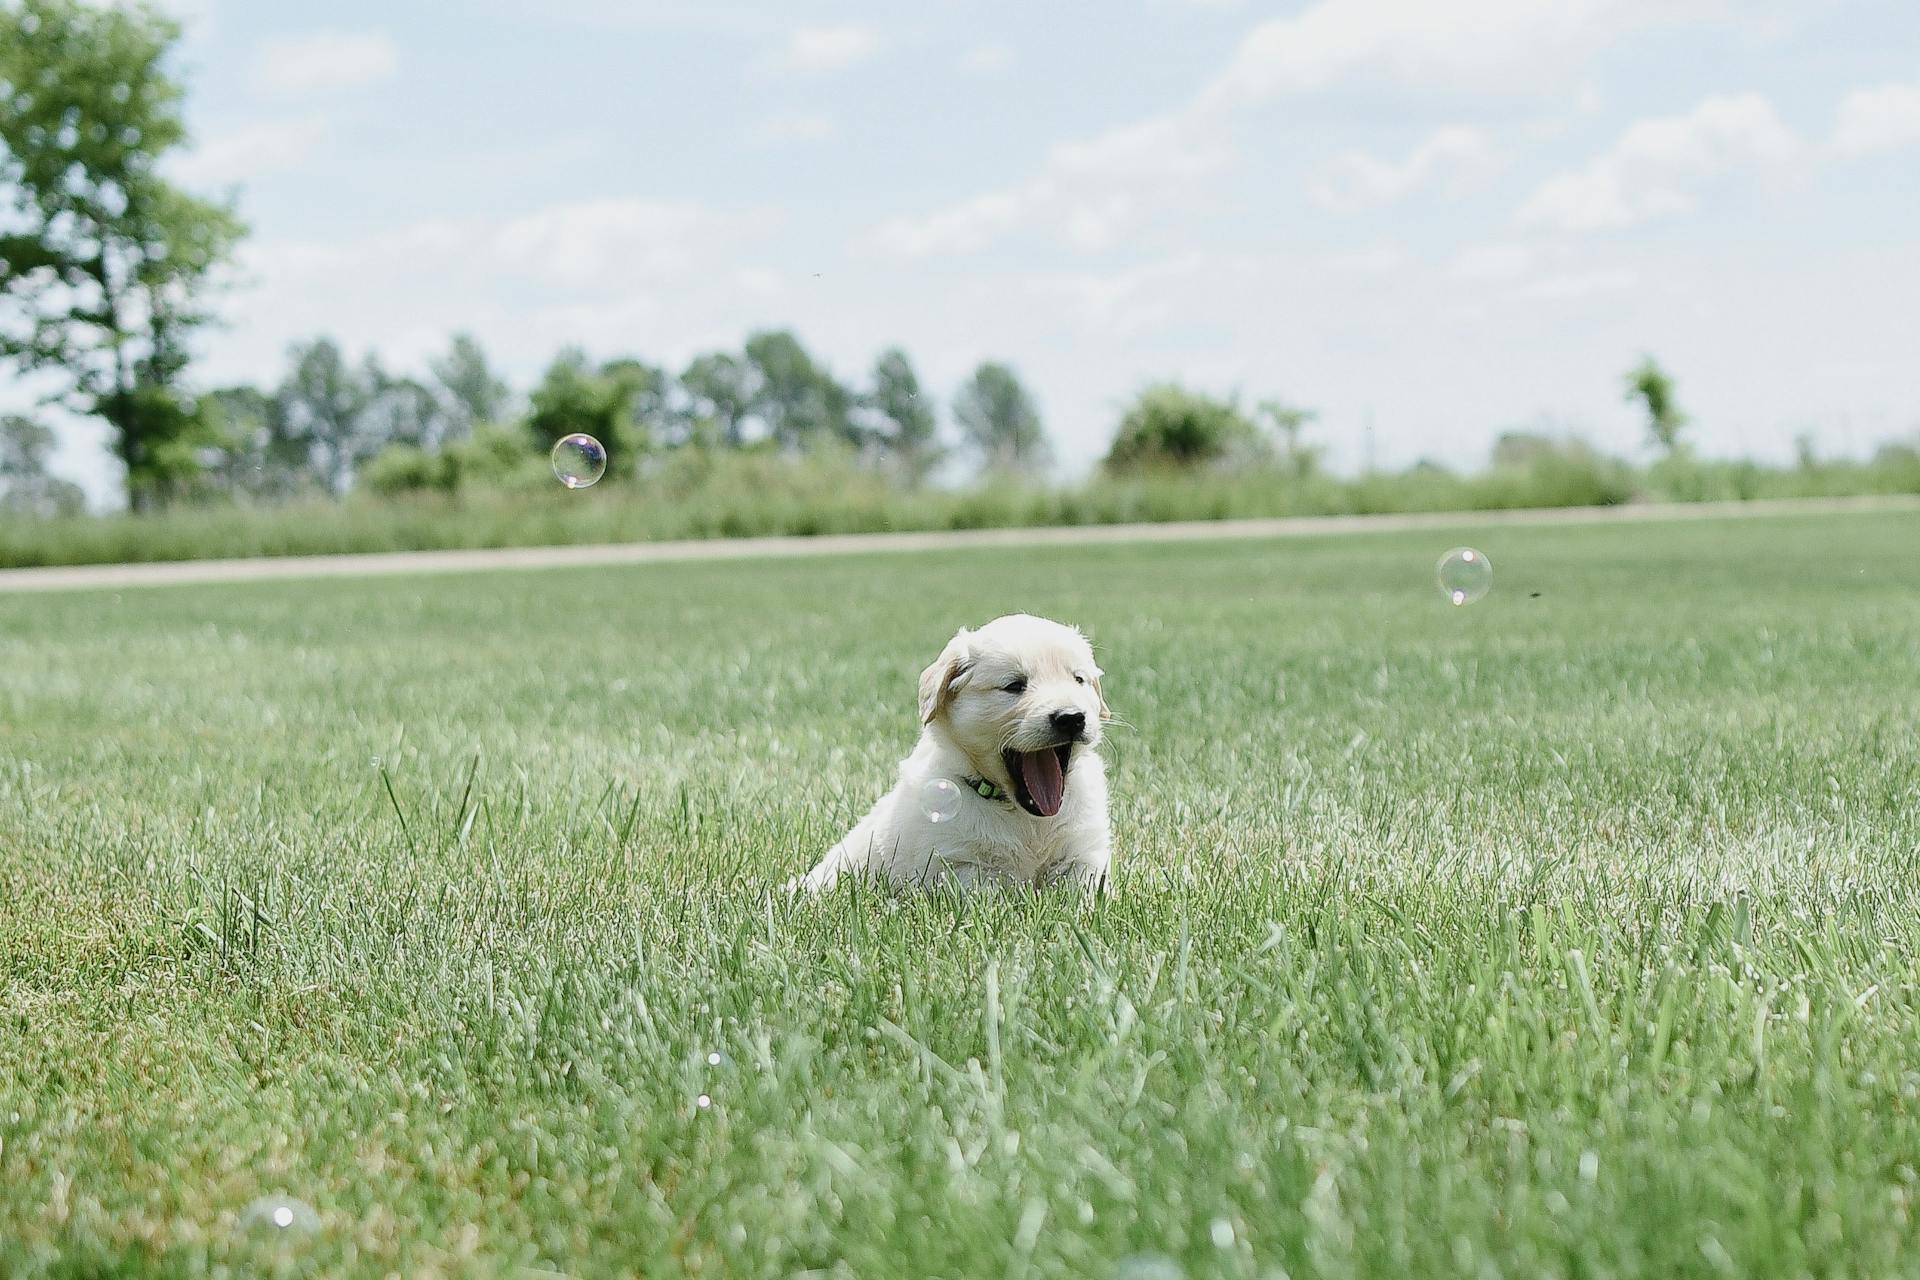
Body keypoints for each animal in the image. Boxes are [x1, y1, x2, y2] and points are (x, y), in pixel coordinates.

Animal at [791, 614, 1121, 898]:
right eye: (1014, 685)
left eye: (1078, 680)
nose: (1071, 718)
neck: (1022, 815)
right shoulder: (958, 864)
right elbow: (991, 894)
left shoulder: (1083, 854)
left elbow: (1080, 893)